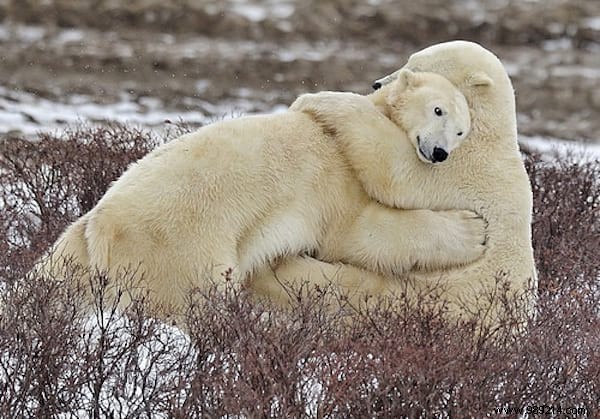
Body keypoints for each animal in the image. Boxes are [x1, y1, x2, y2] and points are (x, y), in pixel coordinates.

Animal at [41, 69, 482, 312]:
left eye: (462, 131)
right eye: (438, 110)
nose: (440, 153)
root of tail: (102, 226)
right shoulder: (337, 174)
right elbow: (359, 232)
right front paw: (473, 230)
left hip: (75, 251)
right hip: (177, 249)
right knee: (189, 303)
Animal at [250, 41, 540, 330]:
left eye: (416, 65)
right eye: (410, 59)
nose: (377, 83)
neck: (489, 131)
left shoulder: (460, 168)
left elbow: (395, 169)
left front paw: (317, 99)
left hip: (432, 294)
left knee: (348, 285)